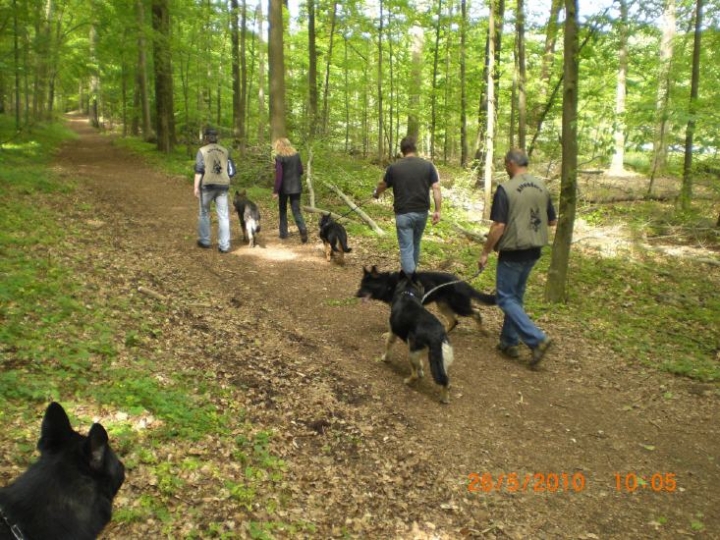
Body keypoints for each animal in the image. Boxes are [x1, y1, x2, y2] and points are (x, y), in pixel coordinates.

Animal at [354, 266, 496, 334]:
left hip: (459, 306)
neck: (389, 284)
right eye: (360, 284)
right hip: (443, 306)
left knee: (477, 313)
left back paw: (483, 331)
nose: (355, 295)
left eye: (366, 286)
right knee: (454, 321)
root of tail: (464, 284)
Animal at [382, 272, 456, 402]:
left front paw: (385, 359)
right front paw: (421, 370)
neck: (407, 293)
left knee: (415, 375)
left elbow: (388, 347)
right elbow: (421, 365)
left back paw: (408, 381)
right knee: (445, 379)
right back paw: (445, 398)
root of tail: (437, 335)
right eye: (421, 284)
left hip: (412, 354)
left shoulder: (392, 334)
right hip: (441, 357)